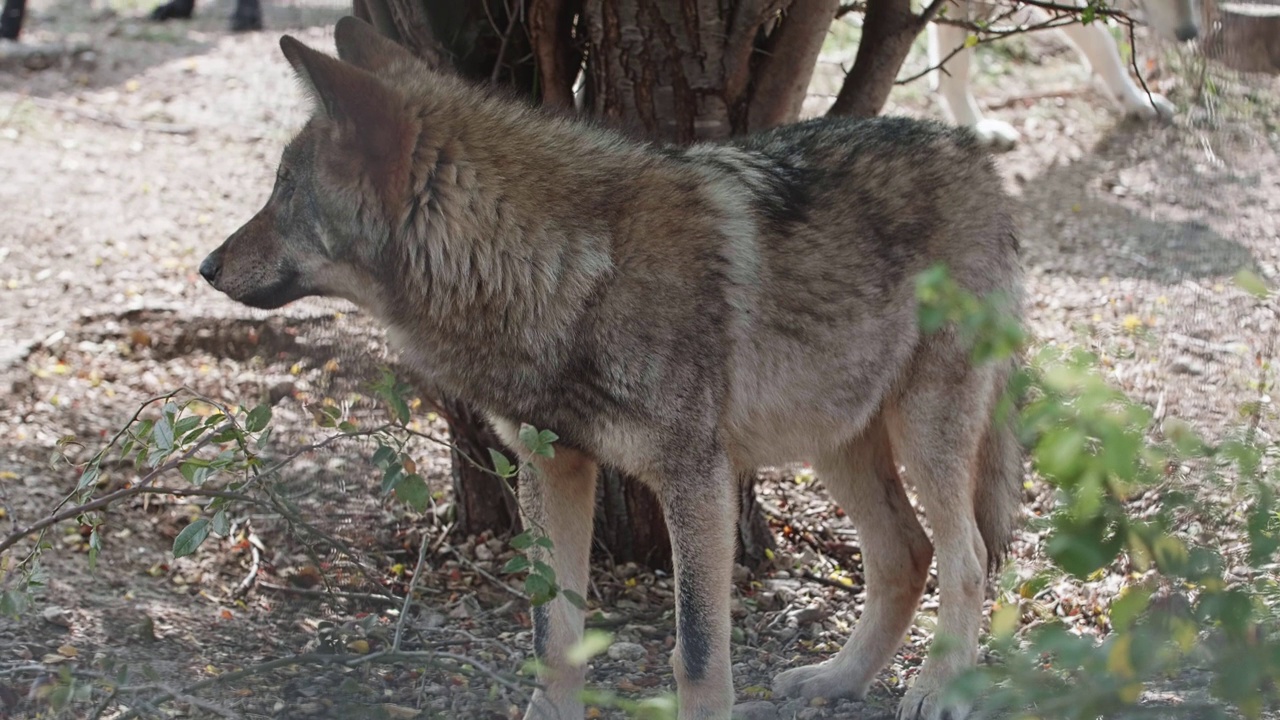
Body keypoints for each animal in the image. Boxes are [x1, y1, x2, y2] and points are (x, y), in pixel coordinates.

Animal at [197, 15, 1018, 717]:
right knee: (906, 554)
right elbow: (552, 637)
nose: (207, 266)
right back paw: (836, 679)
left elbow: (696, 656)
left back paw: (938, 690)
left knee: (967, 556)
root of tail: (972, 155)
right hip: (836, 441)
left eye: (282, 191)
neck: (565, 273)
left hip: (921, 432)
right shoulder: (551, 461)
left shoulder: (697, 482)